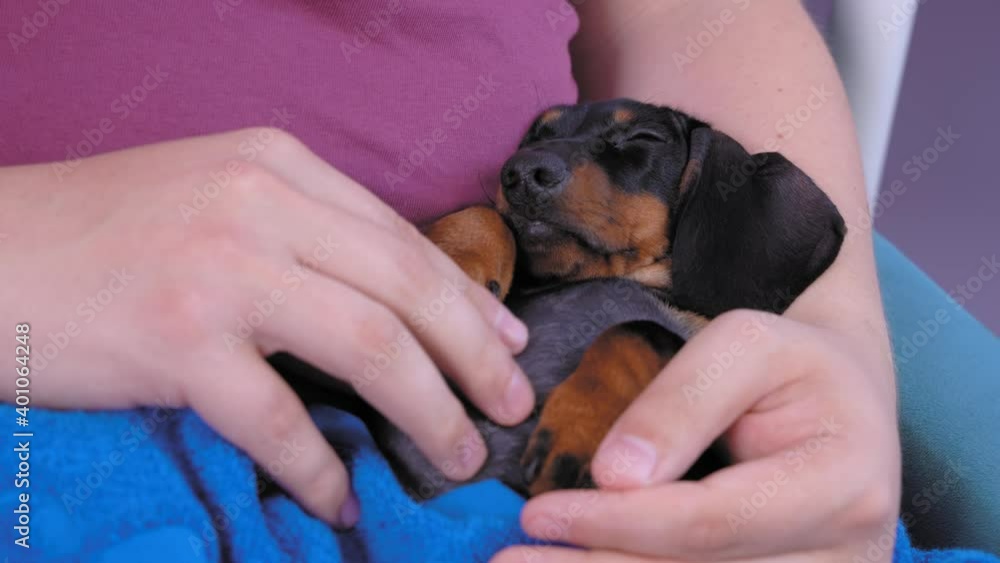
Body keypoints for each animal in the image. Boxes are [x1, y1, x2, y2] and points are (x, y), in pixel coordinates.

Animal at [280, 99, 844, 500]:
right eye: (537, 134)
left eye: (641, 137)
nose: (520, 173)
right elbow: (485, 215)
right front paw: (454, 262)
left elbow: (643, 329)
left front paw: (582, 424)